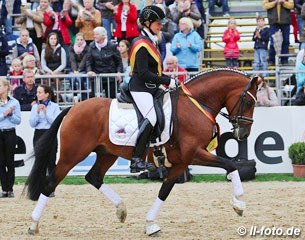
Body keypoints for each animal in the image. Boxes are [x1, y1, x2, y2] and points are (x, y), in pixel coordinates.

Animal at [24, 68, 256, 236]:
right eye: (249, 101)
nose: (243, 133)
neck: (196, 106)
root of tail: (73, 108)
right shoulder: (195, 153)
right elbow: (230, 165)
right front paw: (239, 203)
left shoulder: (180, 162)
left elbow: (164, 191)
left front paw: (151, 224)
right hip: (72, 155)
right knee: (50, 183)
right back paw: (33, 225)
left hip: (107, 153)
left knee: (94, 177)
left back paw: (121, 209)